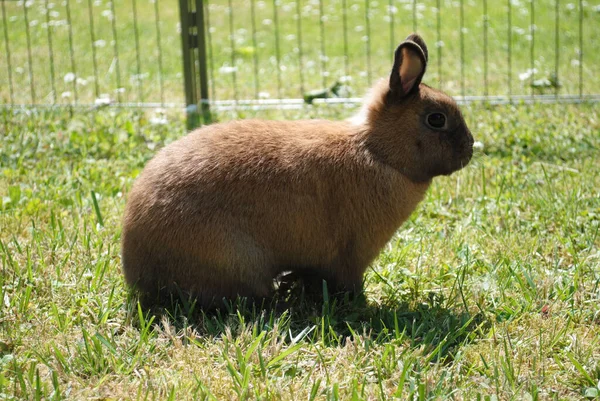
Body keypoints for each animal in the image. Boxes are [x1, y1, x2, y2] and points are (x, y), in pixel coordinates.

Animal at [120, 34, 474, 308]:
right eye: (436, 119)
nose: (470, 149)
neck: (378, 152)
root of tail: (138, 267)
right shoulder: (352, 254)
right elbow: (347, 279)